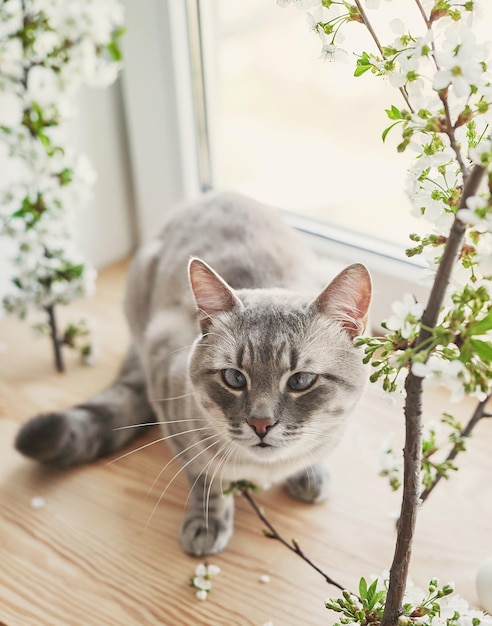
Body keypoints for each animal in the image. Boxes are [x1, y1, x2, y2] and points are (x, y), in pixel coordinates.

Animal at [15, 191, 370, 556]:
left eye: (300, 381)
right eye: (234, 378)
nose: (261, 424)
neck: (265, 468)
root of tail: (213, 195)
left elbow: (315, 450)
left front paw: (310, 474)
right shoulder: (172, 406)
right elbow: (206, 478)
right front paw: (207, 523)